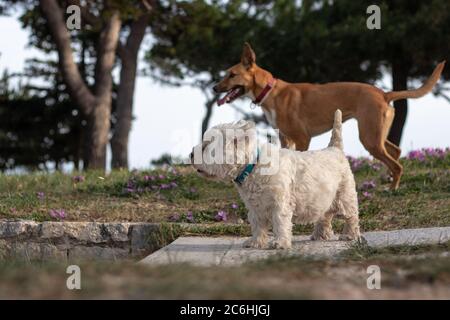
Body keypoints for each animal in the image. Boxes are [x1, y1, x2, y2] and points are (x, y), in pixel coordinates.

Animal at [192, 110, 360, 250]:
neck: (253, 165)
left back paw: (349, 235)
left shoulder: (280, 202)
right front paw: (255, 242)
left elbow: (280, 222)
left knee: (351, 215)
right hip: (323, 197)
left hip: (344, 194)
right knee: (325, 215)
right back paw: (320, 235)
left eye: (205, 146)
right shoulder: (255, 206)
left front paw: (280, 243)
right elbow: (257, 225)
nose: (191, 154)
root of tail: (335, 148)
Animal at [213, 41, 444, 189]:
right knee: (396, 151)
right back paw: (388, 180)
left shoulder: (302, 138)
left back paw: (393, 189)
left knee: (397, 164)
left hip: (369, 137)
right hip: (376, 134)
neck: (270, 91)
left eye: (232, 75)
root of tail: (384, 93)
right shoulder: (286, 139)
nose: (215, 88)